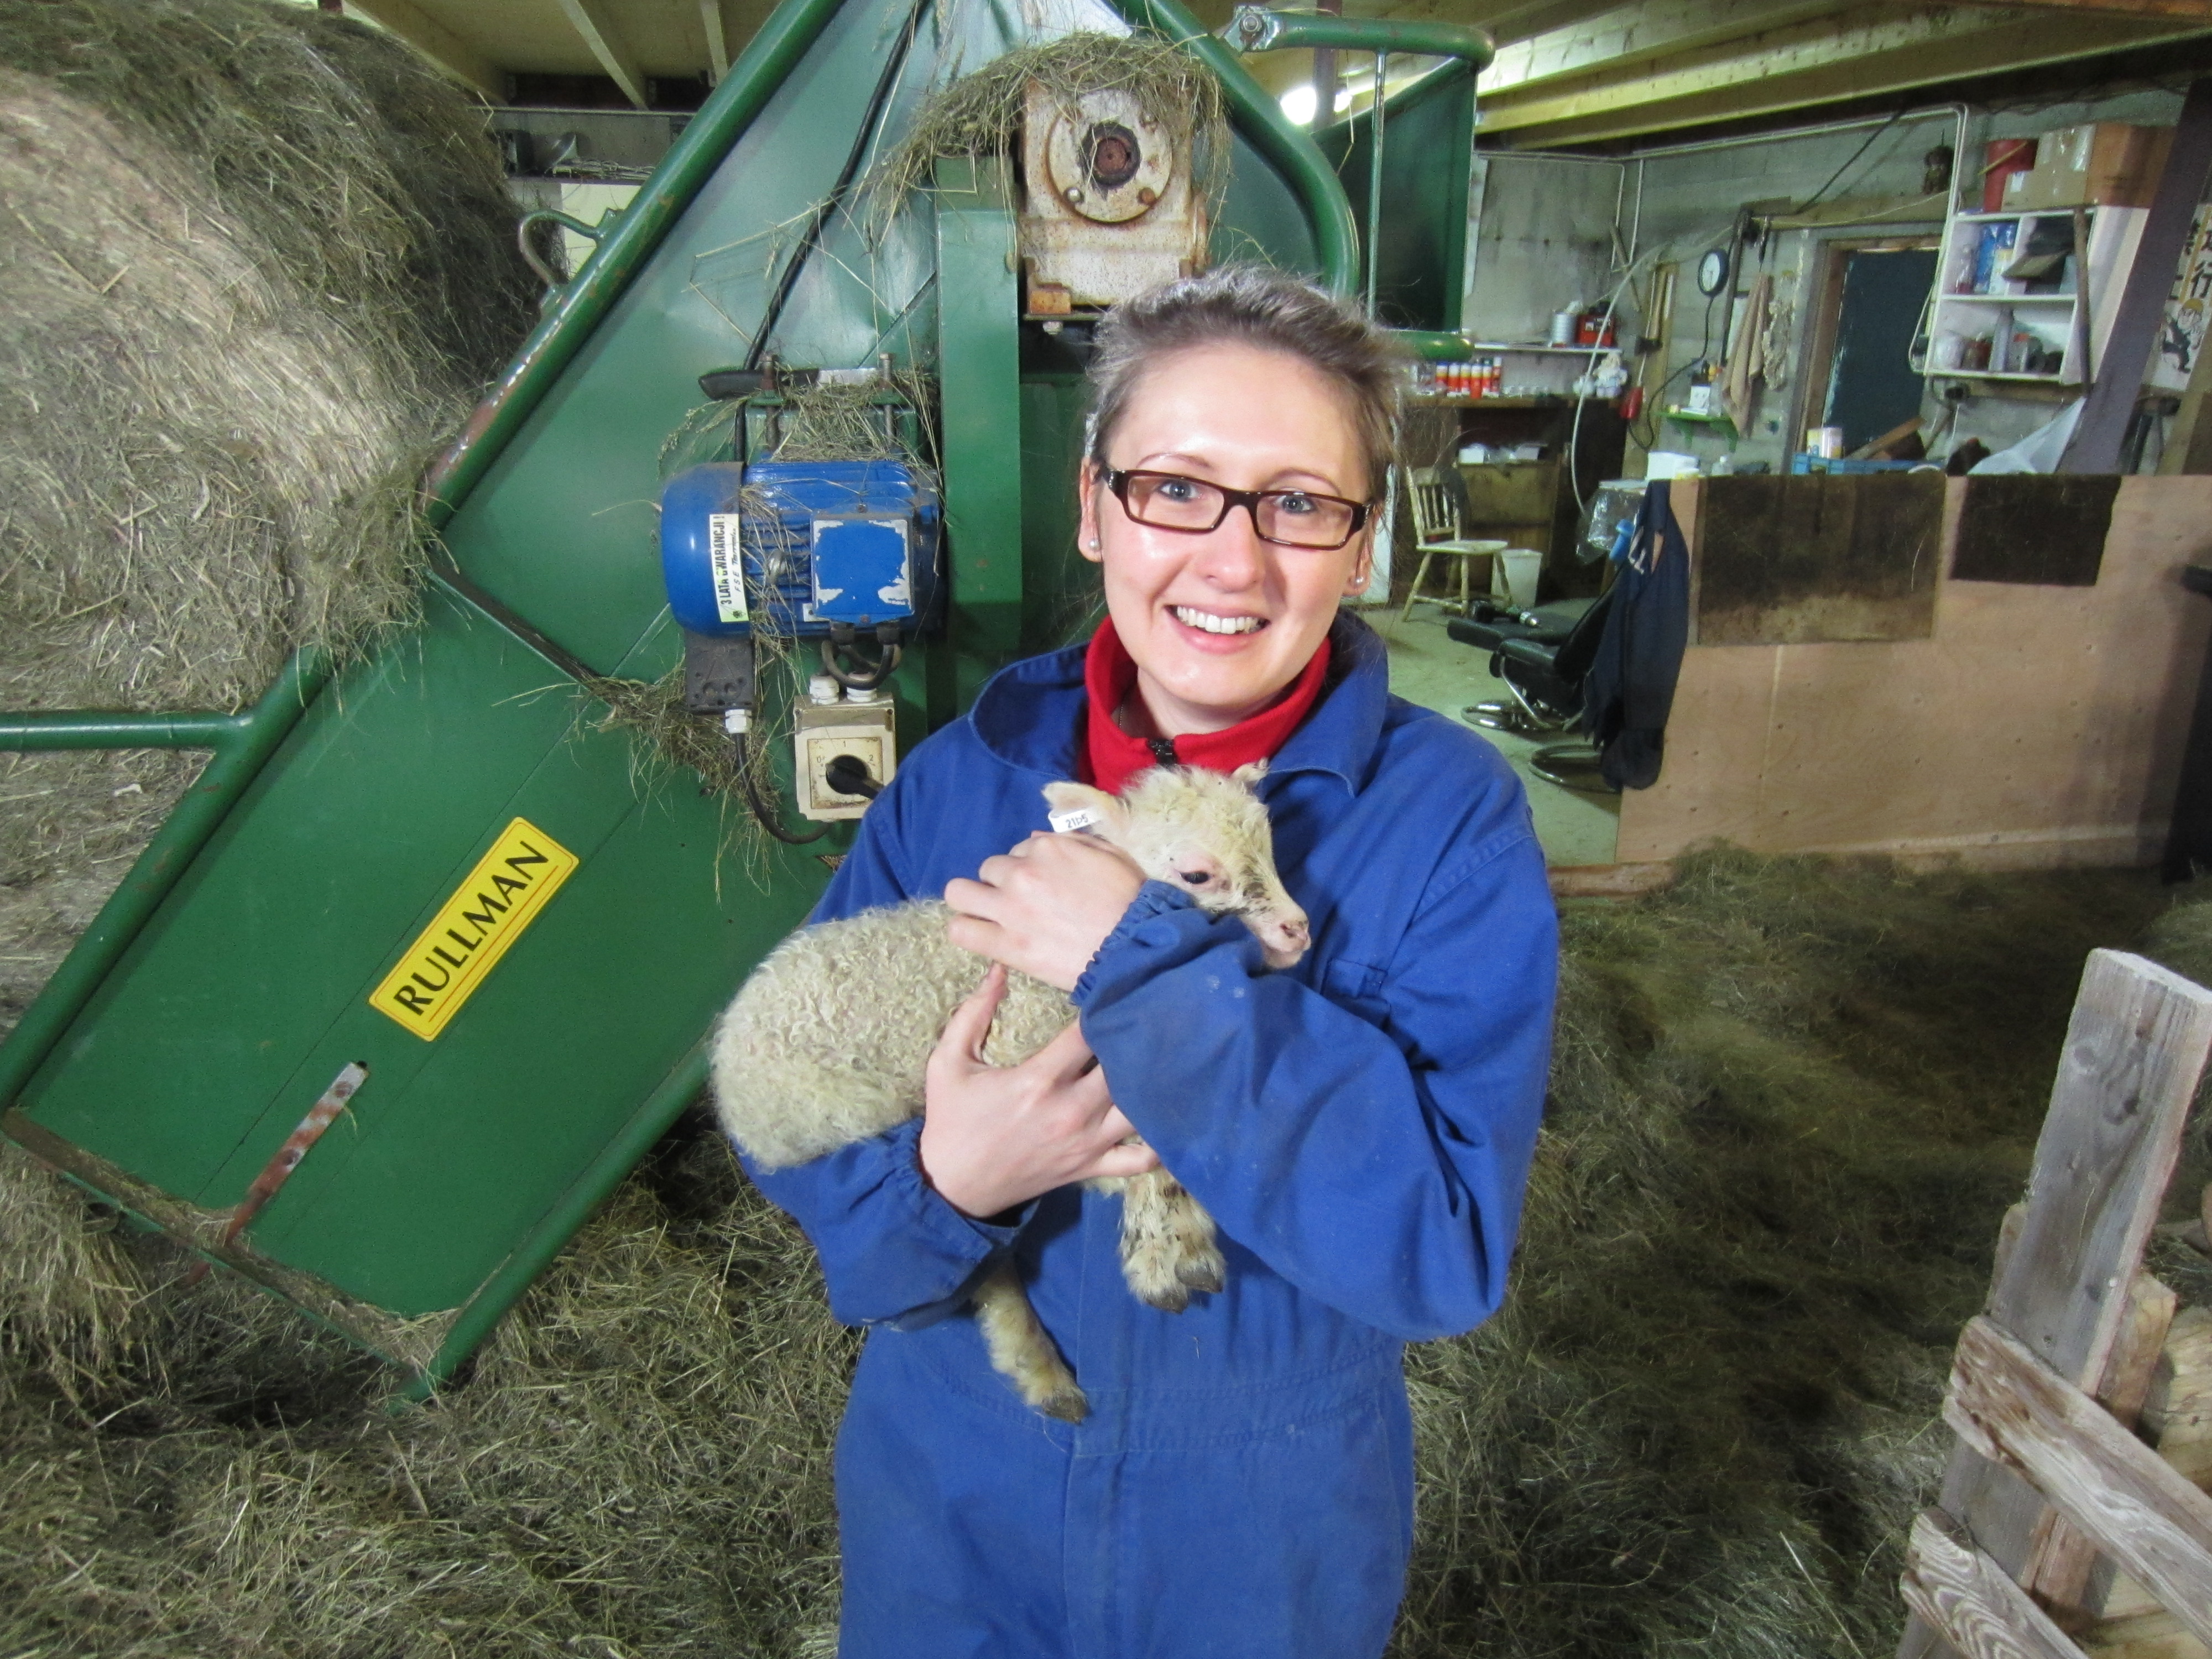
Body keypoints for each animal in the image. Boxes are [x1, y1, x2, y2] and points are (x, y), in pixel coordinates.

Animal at [708, 765, 1301, 1416]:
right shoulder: (1010, 1059)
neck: (1052, 983)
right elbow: (1135, 1153)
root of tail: (728, 1065)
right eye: (1197, 874)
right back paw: (1039, 1366)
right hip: (845, 1110)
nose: (1299, 932)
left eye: (1272, 849)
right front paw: (1171, 1248)